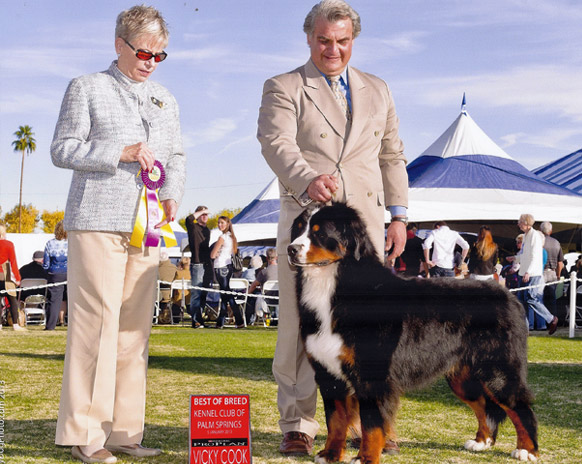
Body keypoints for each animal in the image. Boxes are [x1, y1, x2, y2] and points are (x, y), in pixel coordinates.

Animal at [290, 204, 540, 464]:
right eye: (299, 229)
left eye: (319, 232)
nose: (291, 249)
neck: (332, 286)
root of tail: (510, 296)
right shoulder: (328, 374)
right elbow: (336, 420)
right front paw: (330, 454)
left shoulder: (372, 375)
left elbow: (372, 425)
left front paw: (366, 458)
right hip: (463, 377)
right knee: (484, 405)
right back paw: (481, 441)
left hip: (499, 371)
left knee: (520, 407)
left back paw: (527, 450)